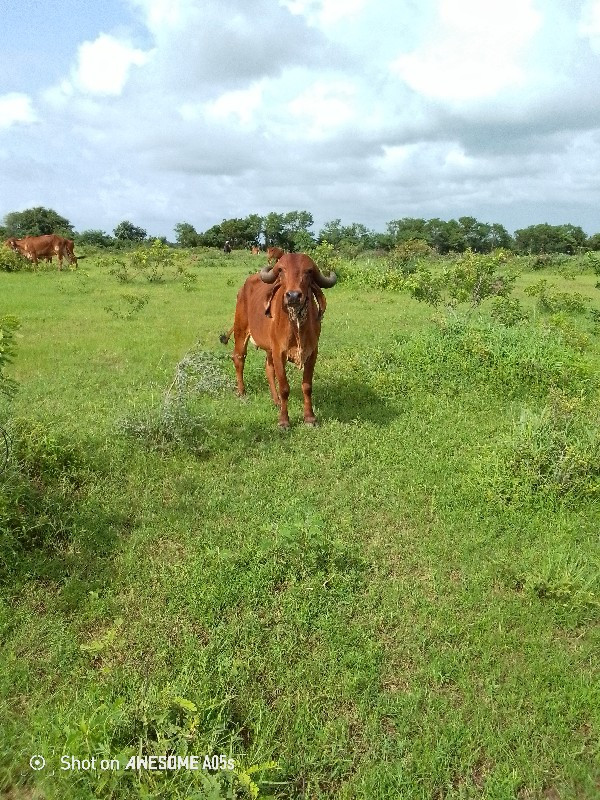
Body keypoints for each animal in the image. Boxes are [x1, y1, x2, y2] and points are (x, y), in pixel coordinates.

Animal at [218, 253, 336, 428]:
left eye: (308, 271)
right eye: (281, 270)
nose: (293, 296)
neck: (296, 323)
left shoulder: (312, 352)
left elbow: (307, 386)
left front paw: (310, 417)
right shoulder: (279, 352)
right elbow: (284, 387)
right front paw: (284, 421)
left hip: (268, 348)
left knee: (268, 368)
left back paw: (276, 400)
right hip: (241, 330)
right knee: (239, 358)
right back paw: (242, 392)